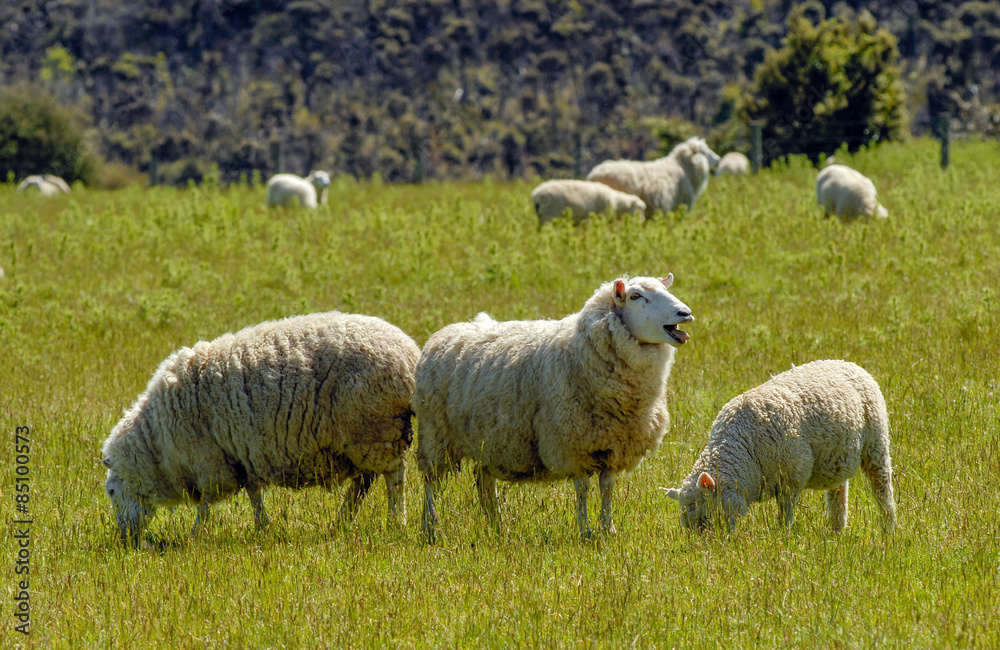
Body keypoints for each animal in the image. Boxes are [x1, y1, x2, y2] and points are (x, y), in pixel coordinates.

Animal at [104, 308, 422, 540]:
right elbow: (253, 494)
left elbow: (206, 504)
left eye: (111, 493)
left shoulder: (209, 462)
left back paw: (397, 521)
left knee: (395, 479)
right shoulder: (238, 458)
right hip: (365, 438)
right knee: (364, 482)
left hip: (376, 429)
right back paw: (342, 521)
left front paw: (195, 534)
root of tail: (410, 354)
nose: (125, 538)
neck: (156, 444)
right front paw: (263, 527)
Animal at [414, 270, 696, 540]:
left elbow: (607, 488)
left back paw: (497, 527)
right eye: (636, 296)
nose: (686, 313)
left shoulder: (612, 446)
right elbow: (583, 489)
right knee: (430, 483)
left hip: (489, 443)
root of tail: (445, 332)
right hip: (435, 434)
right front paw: (585, 531)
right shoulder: (573, 444)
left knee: (484, 482)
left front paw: (609, 529)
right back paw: (430, 527)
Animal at [668, 360, 896, 532]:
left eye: (707, 516)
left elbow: (785, 514)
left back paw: (889, 531)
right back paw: (836, 532)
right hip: (838, 458)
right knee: (838, 496)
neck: (746, 454)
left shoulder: (791, 478)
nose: (710, 548)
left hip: (876, 443)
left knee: (882, 489)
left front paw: (783, 536)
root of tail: (846, 362)